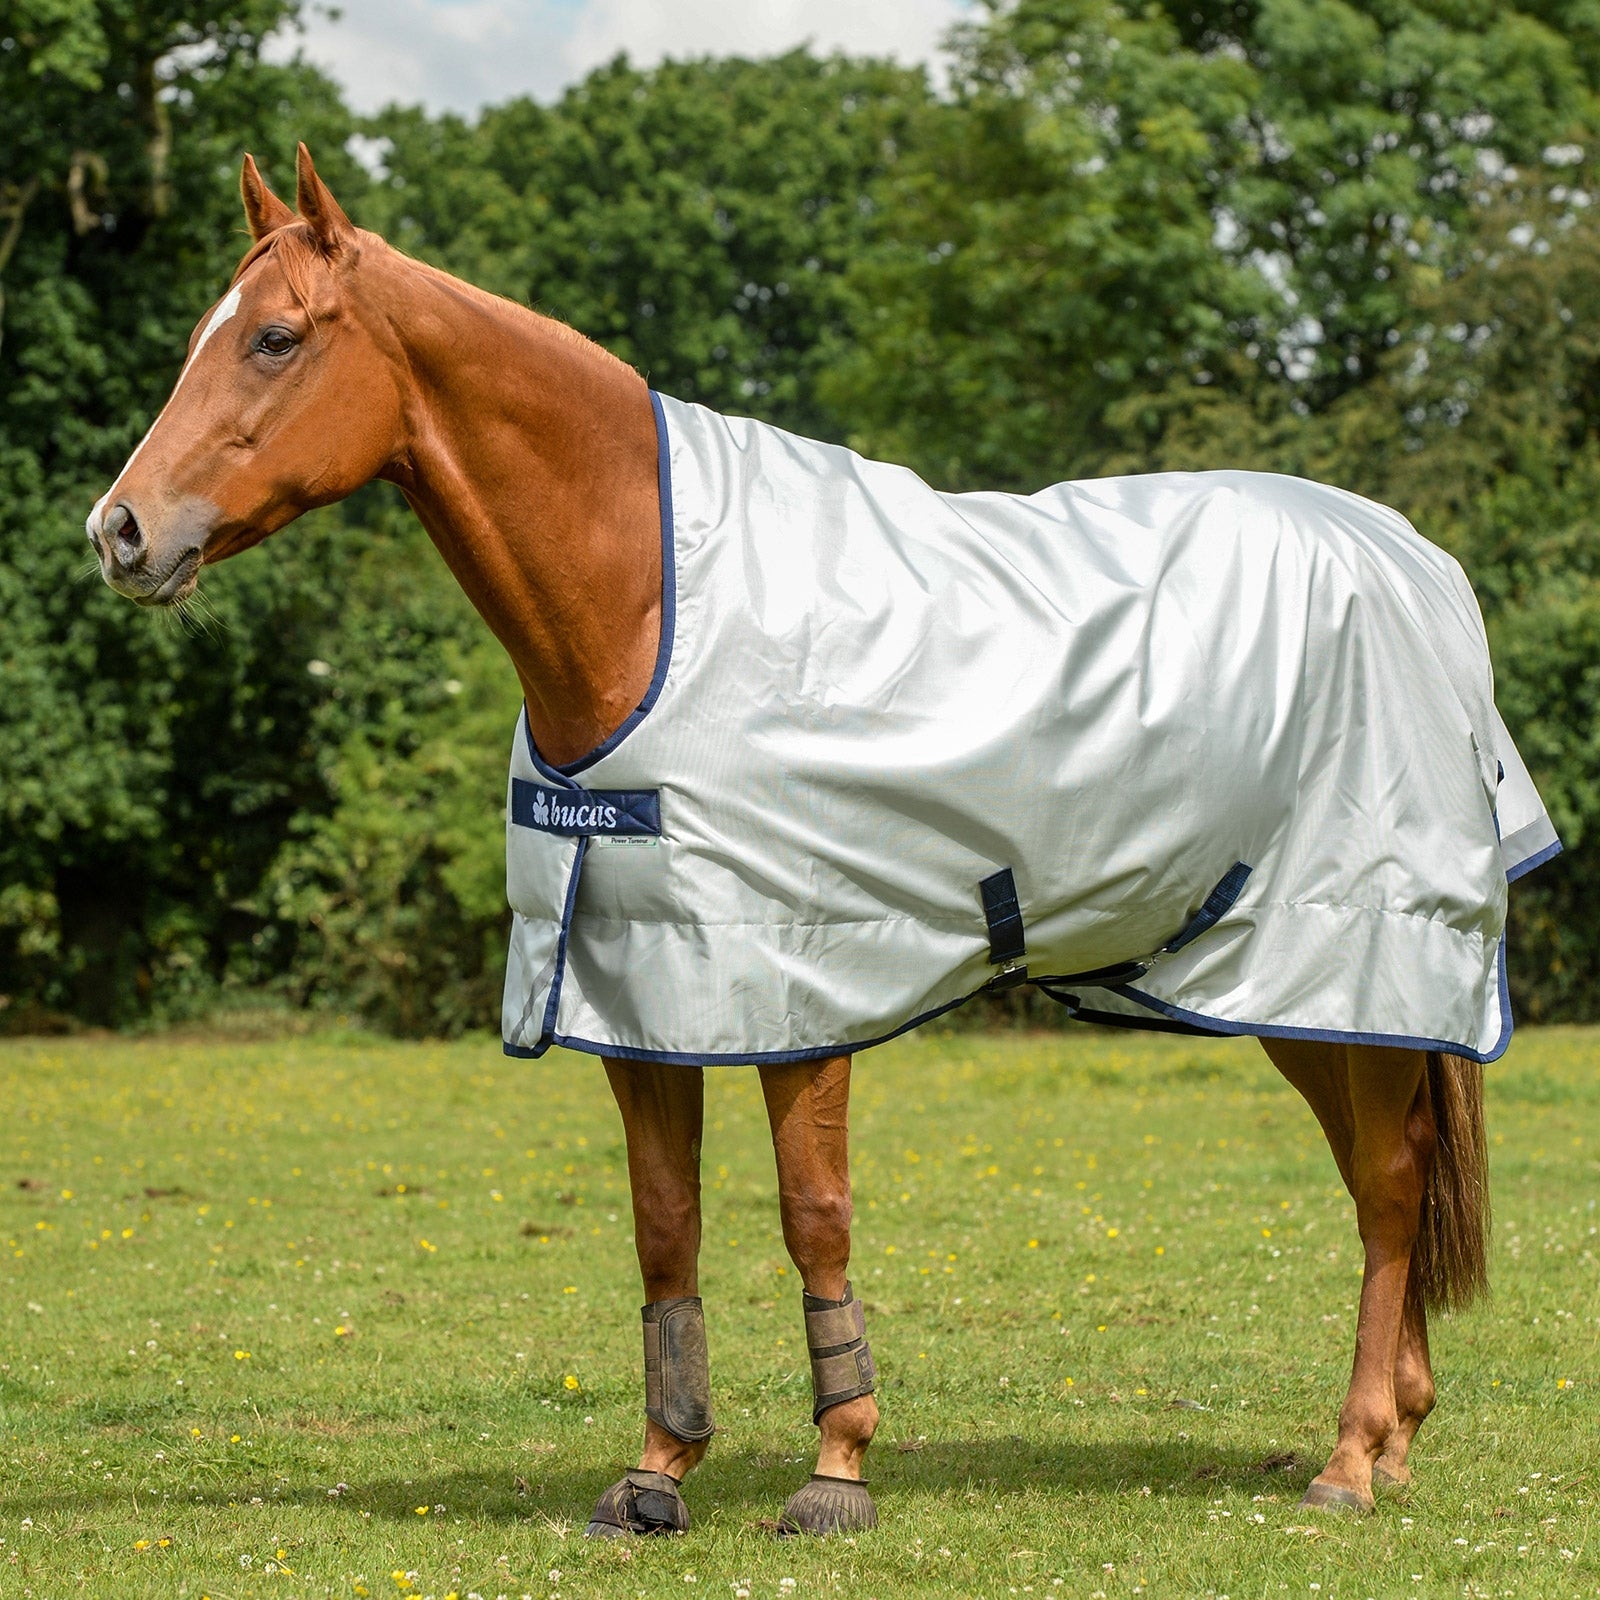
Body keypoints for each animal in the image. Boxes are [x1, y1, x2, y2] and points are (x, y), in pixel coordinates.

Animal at [86, 145, 1551, 1537]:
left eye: (276, 337)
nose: (120, 530)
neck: (648, 607)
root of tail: (1416, 561)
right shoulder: (643, 997)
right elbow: (663, 1227)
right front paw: (658, 1469)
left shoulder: (807, 985)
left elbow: (812, 1214)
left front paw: (837, 1469)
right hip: (1283, 982)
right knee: (1378, 1180)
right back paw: (1395, 1434)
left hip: (1348, 956)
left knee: (1386, 1185)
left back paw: (1352, 1462)